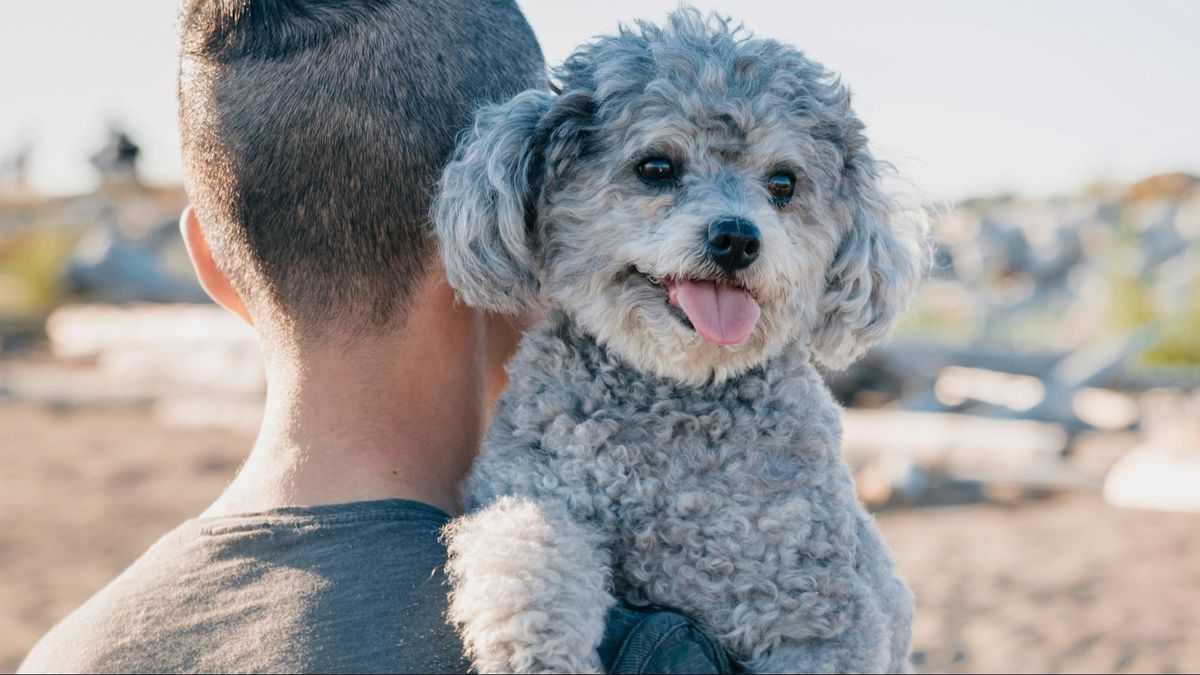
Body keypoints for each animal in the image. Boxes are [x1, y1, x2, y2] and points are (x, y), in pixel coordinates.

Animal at [432, 7, 926, 667]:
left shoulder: (823, 607)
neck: (679, 395)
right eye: (656, 167)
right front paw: (534, 654)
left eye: (784, 183)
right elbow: (525, 554)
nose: (737, 237)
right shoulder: (533, 486)